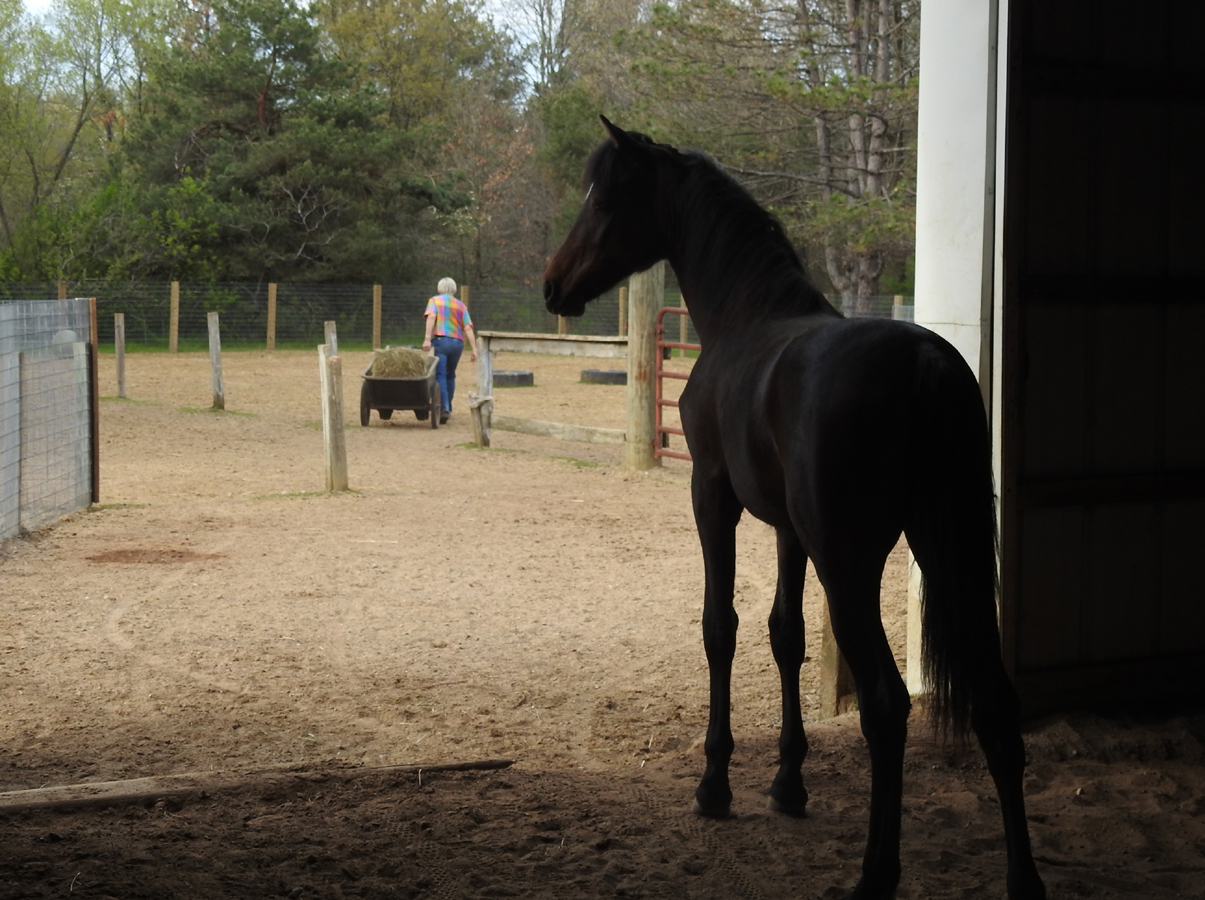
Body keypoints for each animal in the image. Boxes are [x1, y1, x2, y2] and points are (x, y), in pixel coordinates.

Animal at [547, 119, 1045, 900]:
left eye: (602, 198)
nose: (554, 284)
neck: (746, 317)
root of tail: (925, 364)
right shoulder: (786, 528)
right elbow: (786, 634)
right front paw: (787, 784)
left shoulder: (712, 498)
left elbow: (720, 627)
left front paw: (715, 786)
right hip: (944, 550)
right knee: (993, 702)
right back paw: (1022, 880)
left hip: (851, 565)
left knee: (887, 705)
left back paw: (874, 875)